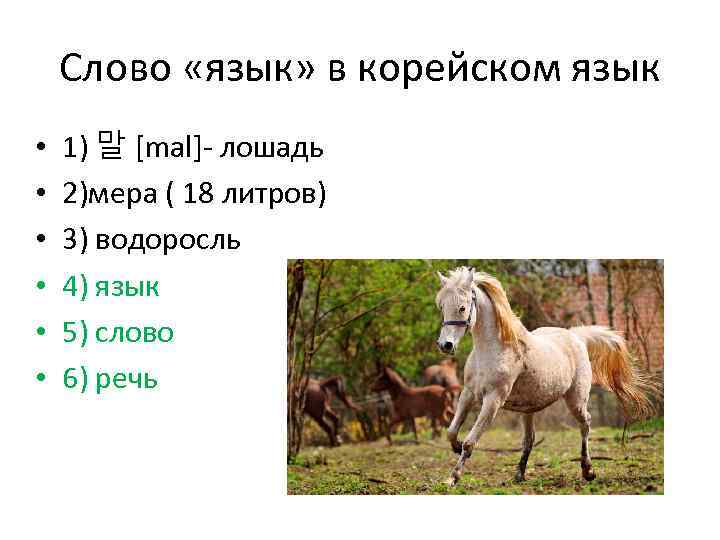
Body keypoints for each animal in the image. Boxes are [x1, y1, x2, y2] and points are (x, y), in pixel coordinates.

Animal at [435, 267, 657, 486]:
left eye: (462, 308)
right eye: (442, 306)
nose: (445, 345)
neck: (494, 349)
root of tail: (576, 337)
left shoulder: (493, 400)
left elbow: (470, 442)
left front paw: (452, 477)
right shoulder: (468, 394)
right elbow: (451, 431)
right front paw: (455, 447)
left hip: (576, 400)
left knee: (585, 424)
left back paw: (588, 471)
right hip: (528, 409)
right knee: (530, 439)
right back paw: (519, 475)